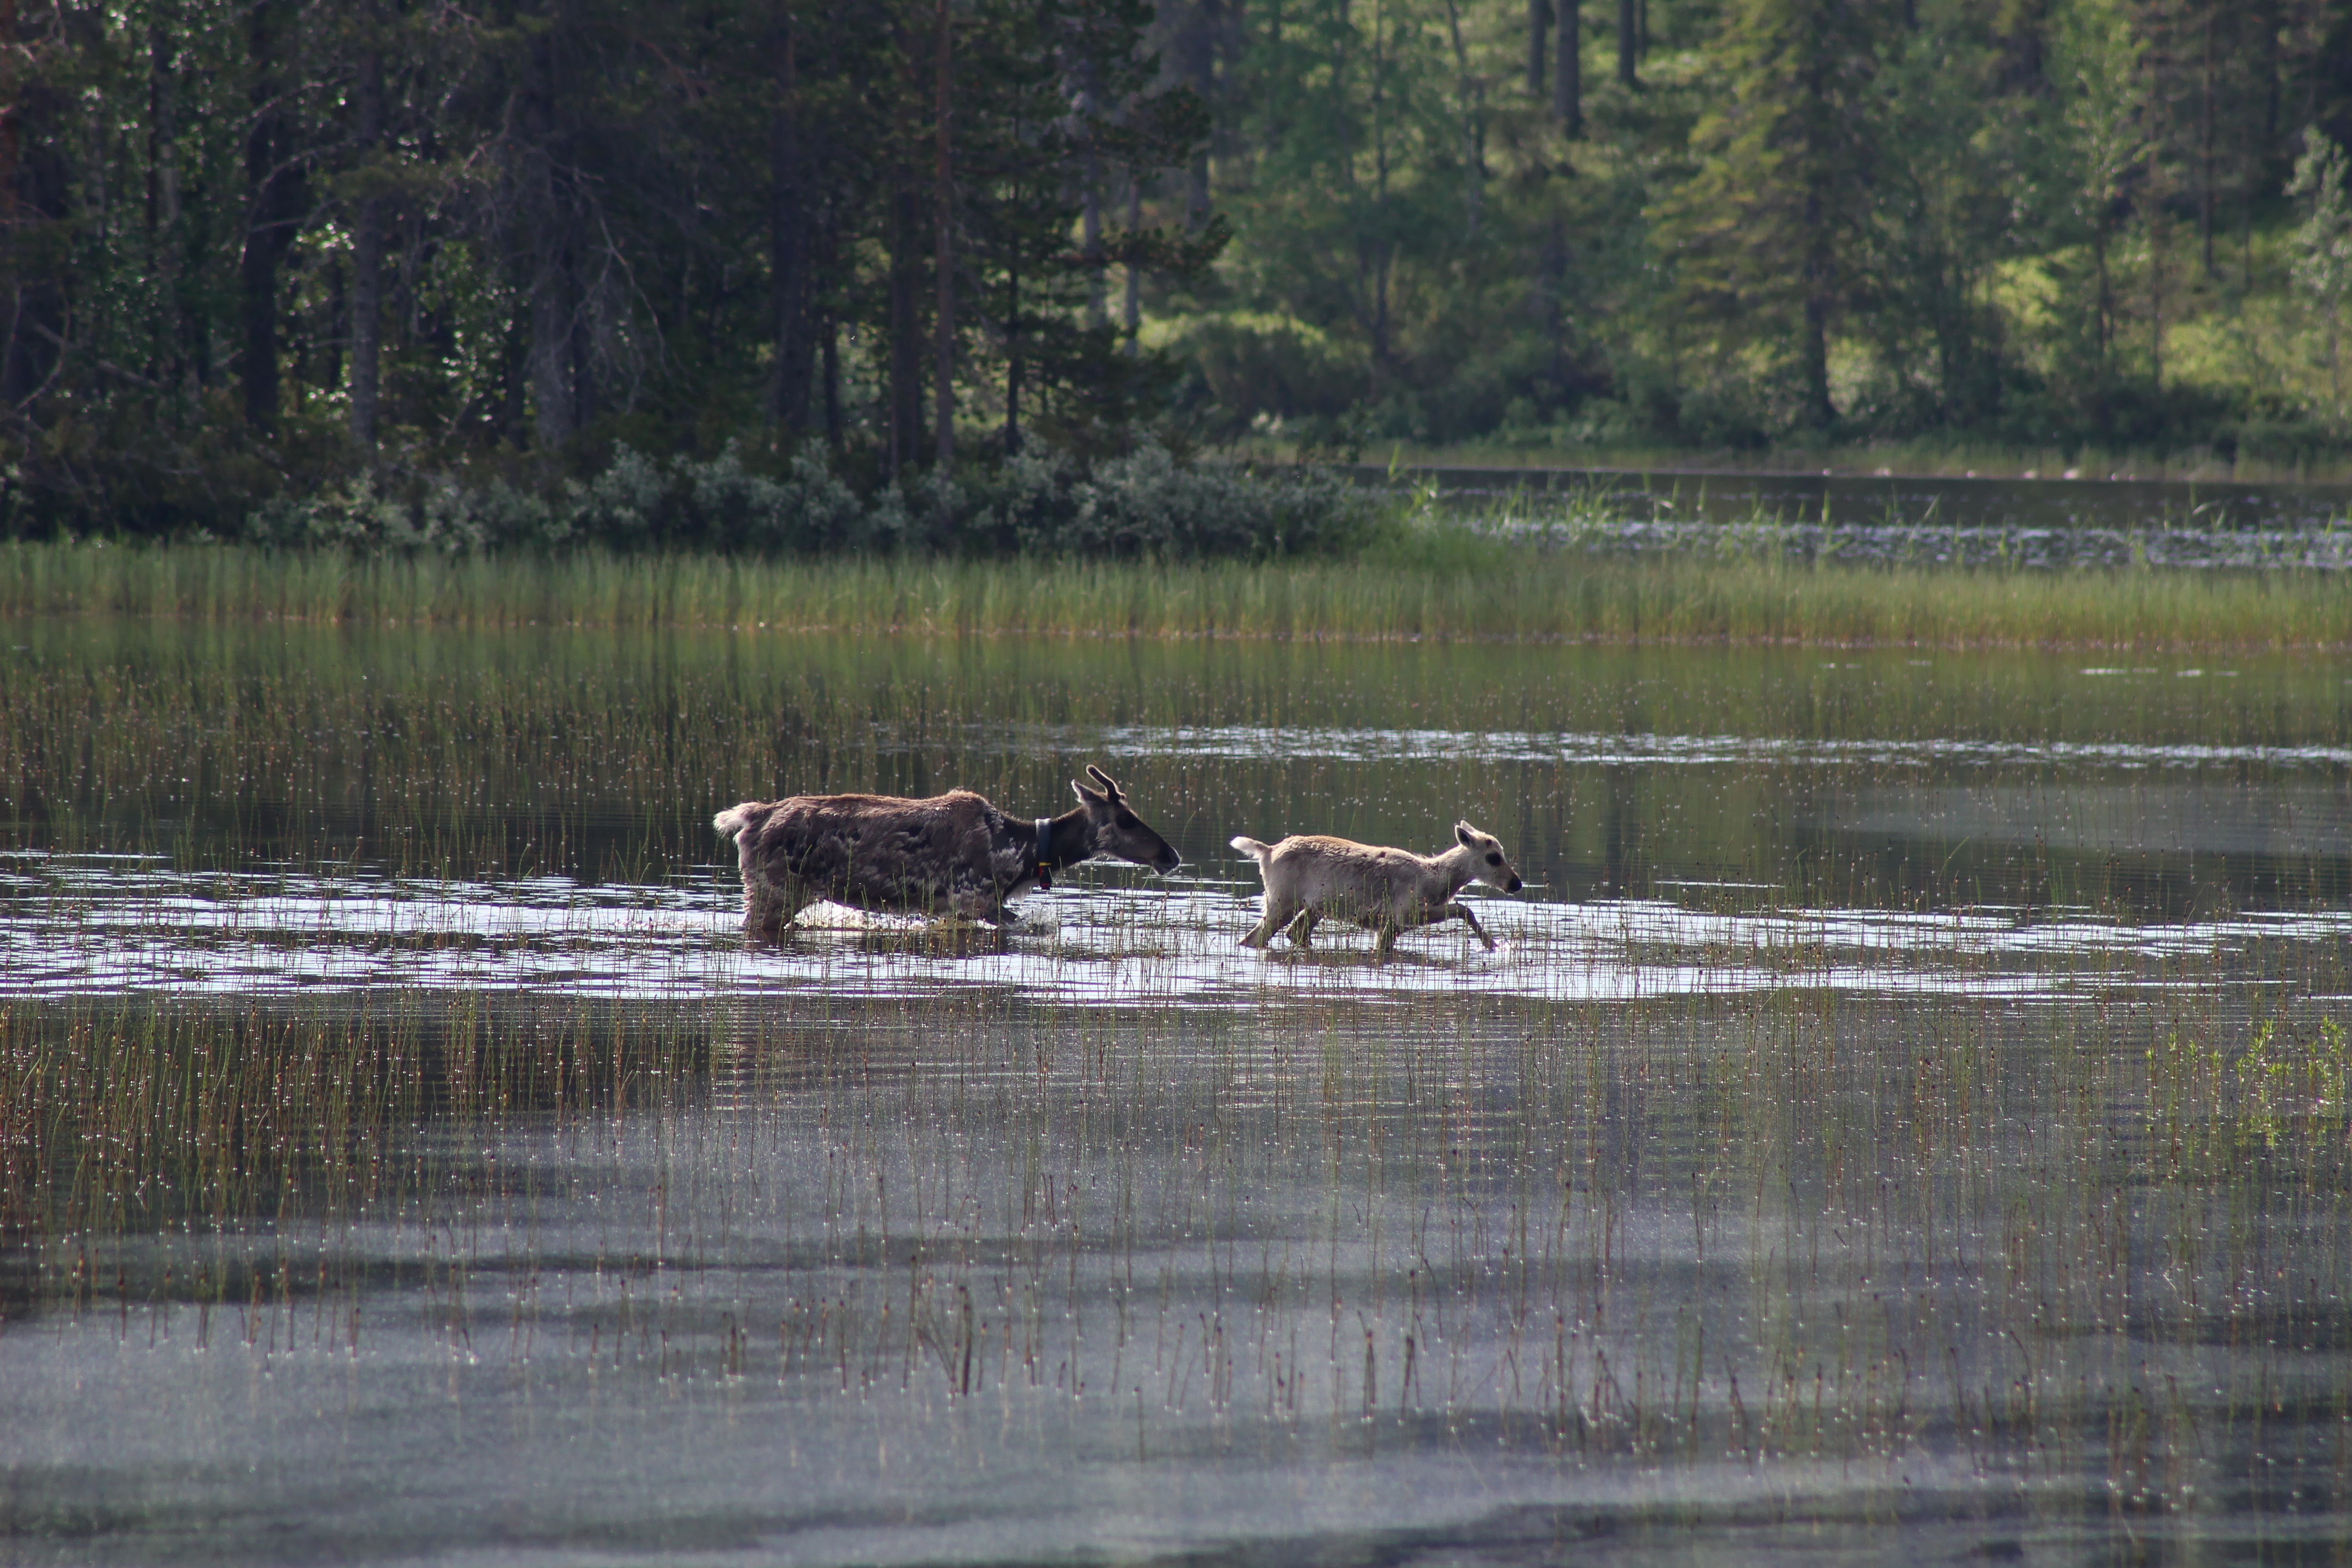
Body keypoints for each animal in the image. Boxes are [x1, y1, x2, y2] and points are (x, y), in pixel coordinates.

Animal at [1232, 827, 1524, 964]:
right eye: (1493, 857)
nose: (1517, 883)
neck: (1435, 879)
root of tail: (1267, 851)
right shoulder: (1406, 912)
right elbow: (1464, 908)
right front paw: (1493, 944)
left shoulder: (1391, 926)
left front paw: (1495, 944)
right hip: (1281, 902)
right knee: (1254, 938)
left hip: (1313, 907)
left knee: (1294, 933)